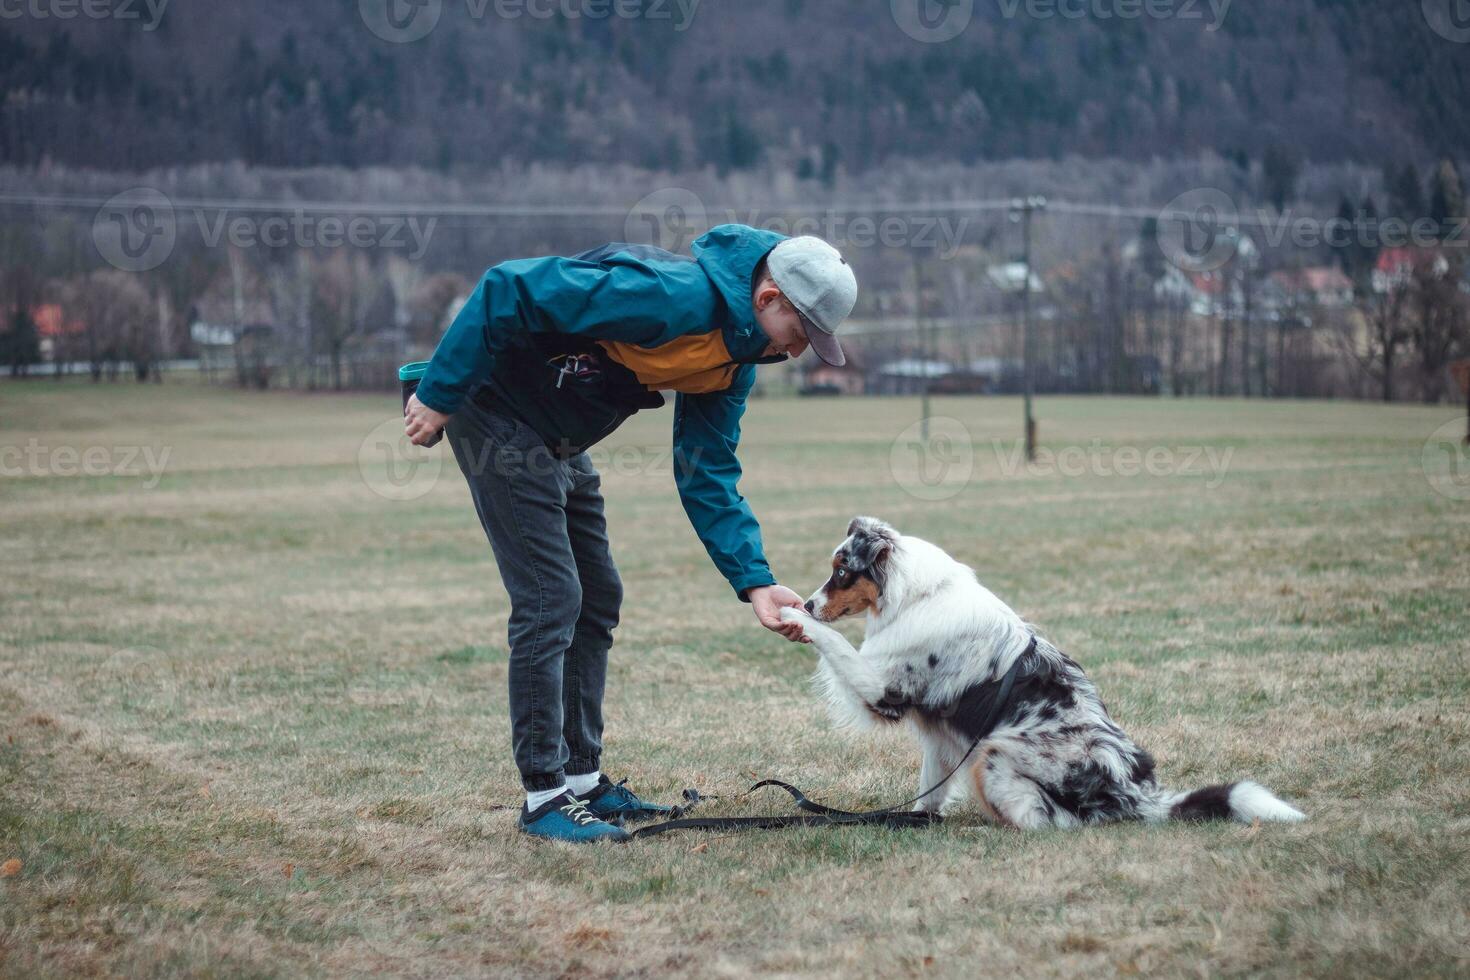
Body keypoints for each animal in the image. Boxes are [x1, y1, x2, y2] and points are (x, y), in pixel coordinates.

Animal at [782, 517, 1311, 834]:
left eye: (842, 572)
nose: (808, 602)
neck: (917, 595)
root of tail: (1135, 791)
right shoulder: (939, 735)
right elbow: (929, 791)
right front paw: (918, 821)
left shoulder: (882, 688)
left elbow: (835, 644)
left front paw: (791, 616)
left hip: (994, 753)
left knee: (1050, 821)